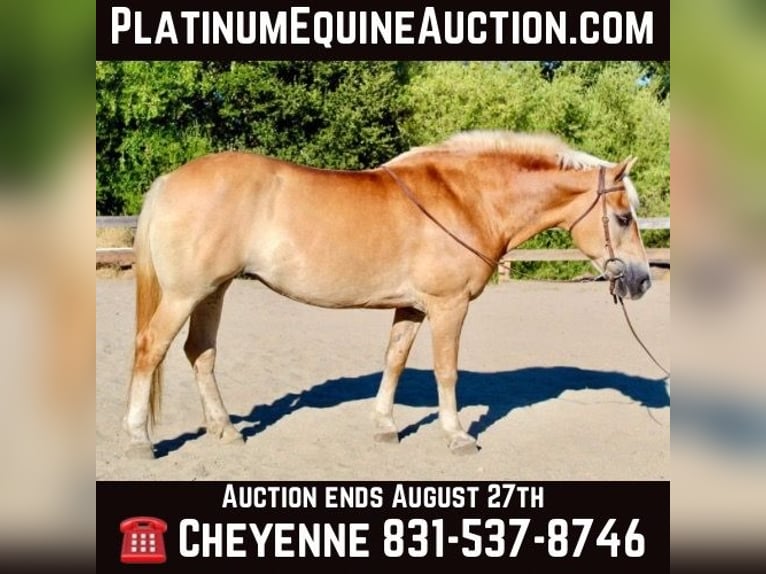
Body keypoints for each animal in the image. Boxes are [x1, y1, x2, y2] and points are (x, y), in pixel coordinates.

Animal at [123, 130, 651, 459]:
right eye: (623, 217)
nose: (642, 280)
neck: (467, 199)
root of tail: (170, 180)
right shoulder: (448, 306)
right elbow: (446, 371)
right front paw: (457, 435)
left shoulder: (411, 308)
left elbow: (394, 360)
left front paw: (383, 426)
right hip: (184, 294)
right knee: (151, 350)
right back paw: (137, 439)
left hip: (213, 291)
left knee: (200, 354)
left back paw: (226, 430)